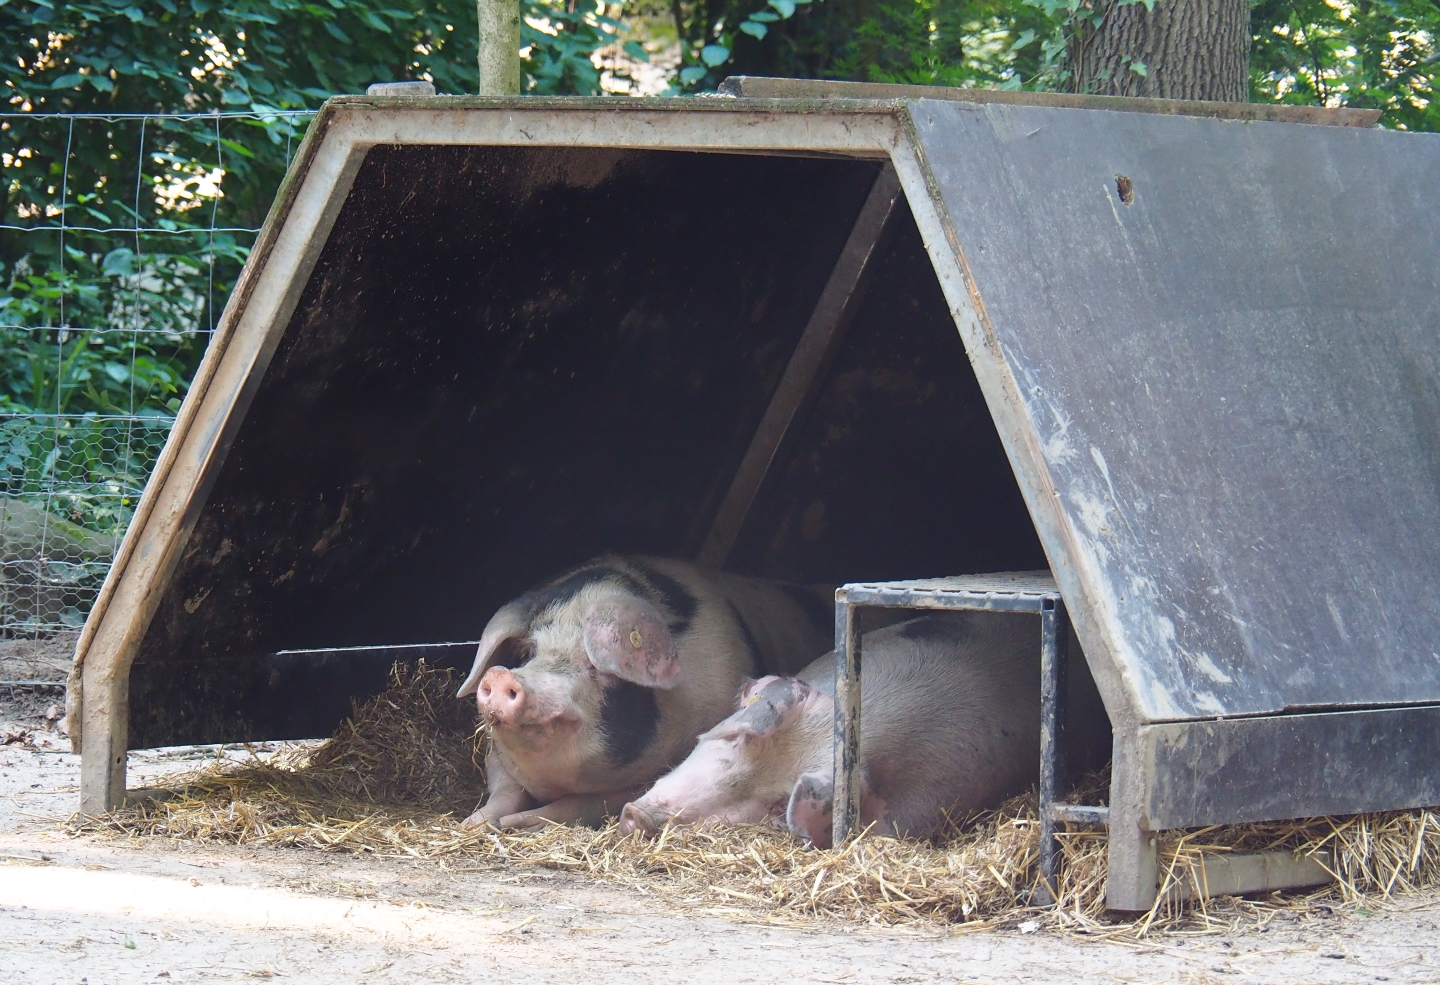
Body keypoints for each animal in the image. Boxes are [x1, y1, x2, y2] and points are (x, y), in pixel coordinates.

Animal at [456, 556, 833, 830]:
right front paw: (472, 824)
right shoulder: (495, 755)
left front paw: (513, 824)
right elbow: (503, 790)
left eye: (596, 666)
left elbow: (582, 805)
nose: (503, 677)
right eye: (528, 652)